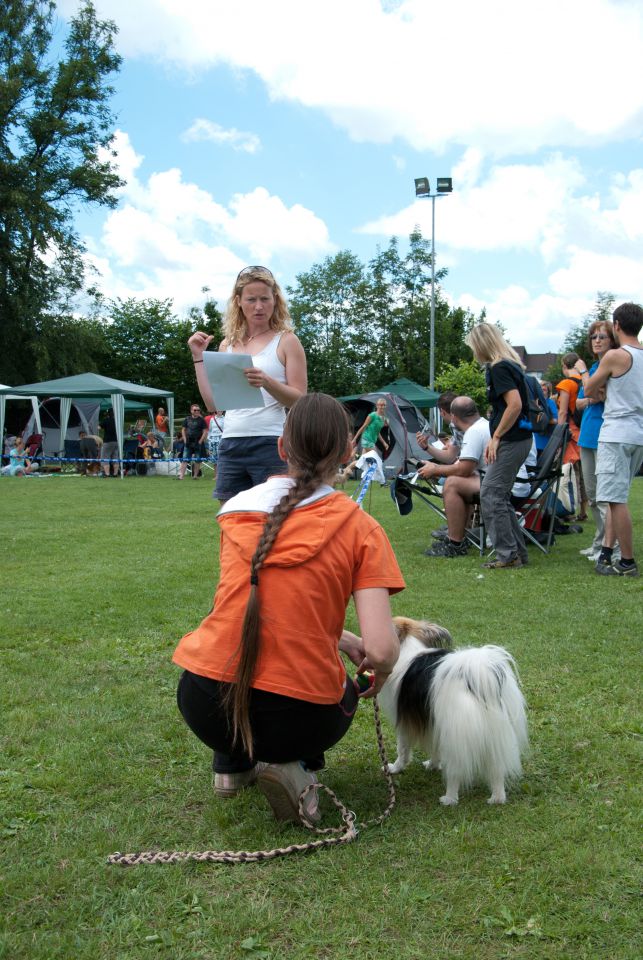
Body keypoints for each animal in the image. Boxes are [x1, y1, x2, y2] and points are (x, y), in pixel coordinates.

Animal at [378, 620, 528, 808]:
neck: (410, 646)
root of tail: (475, 679)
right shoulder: (433, 723)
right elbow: (434, 748)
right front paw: (433, 765)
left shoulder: (406, 724)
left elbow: (403, 750)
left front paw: (394, 768)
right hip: (496, 733)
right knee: (497, 769)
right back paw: (497, 798)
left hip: (456, 737)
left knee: (456, 773)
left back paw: (449, 799)